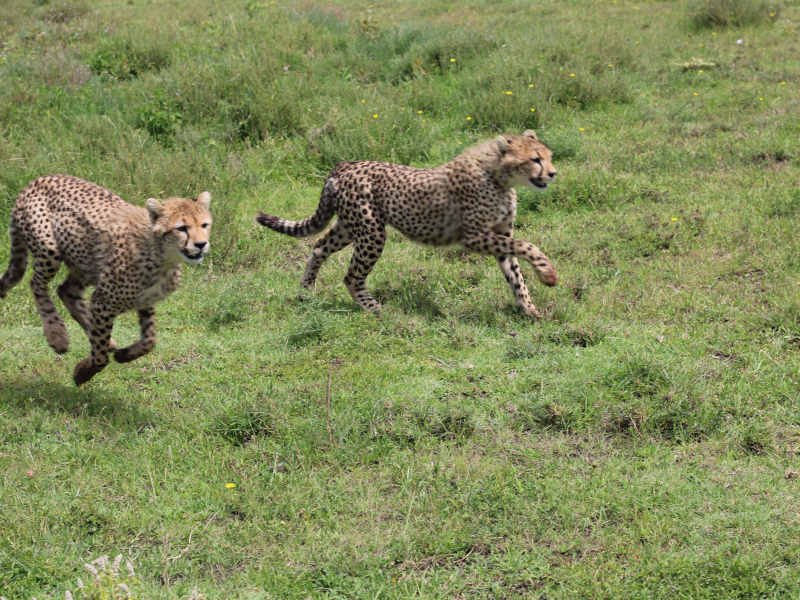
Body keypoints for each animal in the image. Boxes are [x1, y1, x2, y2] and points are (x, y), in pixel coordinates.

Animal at [0, 176, 212, 386]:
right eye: (181, 228)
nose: (201, 244)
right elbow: (101, 355)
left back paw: (104, 339)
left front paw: (125, 355)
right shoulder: (104, 302)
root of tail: (37, 180)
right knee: (36, 284)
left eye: (204, 225)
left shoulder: (144, 300)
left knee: (66, 291)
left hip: (86, 263)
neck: (163, 257)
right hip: (50, 250)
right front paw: (83, 372)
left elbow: (150, 340)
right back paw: (57, 334)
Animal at [260, 129, 560, 316]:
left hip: (349, 225)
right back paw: (376, 310)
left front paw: (530, 310)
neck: (498, 175)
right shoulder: (474, 236)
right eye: (535, 159)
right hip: (371, 232)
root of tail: (345, 165)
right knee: (352, 276)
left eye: (549, 156)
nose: (553, 173)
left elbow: (516, 274)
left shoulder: (500, 234)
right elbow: (526, 245)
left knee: (318, 247)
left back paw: (306, 291)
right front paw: (547, 273)